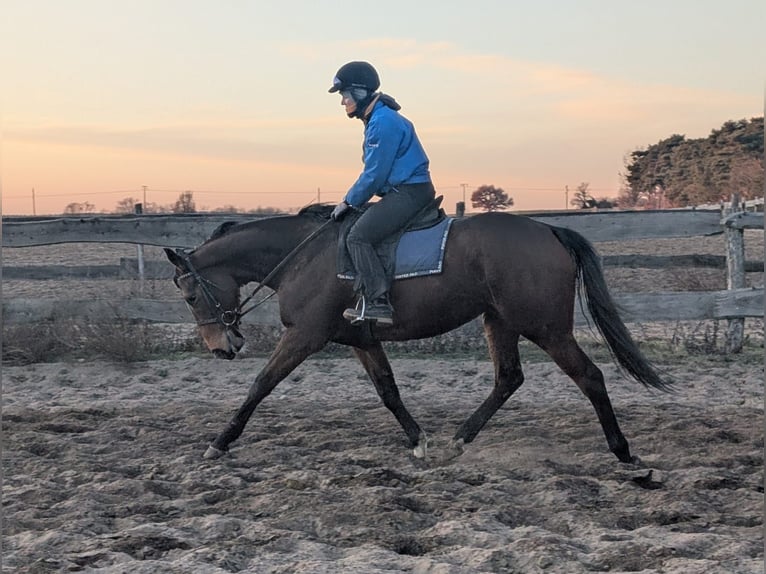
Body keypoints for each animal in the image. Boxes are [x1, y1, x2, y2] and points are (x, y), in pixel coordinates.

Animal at [164, 205, 671, 463]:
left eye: (189, 296)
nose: (222, 348)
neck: (302, 257)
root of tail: (548, 228)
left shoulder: (305, 336)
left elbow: (261, 384)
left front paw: (220, 441)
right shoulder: (363, 341)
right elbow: (389, 392)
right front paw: (418, 440)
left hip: (544, 327)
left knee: (590, 377)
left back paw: (625, 454)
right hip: (499, 321)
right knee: (508, 378)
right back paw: (459, 439)